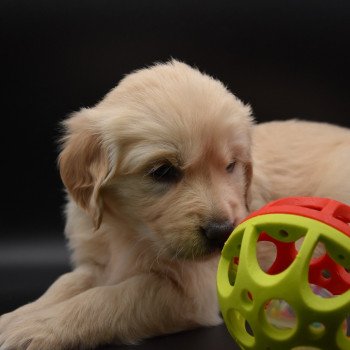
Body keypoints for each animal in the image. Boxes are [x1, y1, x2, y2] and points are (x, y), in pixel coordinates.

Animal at [0, 60, 253, 350]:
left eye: (230, 166)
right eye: (163, 171)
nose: (222, 231)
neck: (129, 230)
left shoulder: (191, 294)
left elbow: (113, 297)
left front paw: (37, 327)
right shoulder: (98, 261)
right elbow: (65, 283)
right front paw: (17, 316)